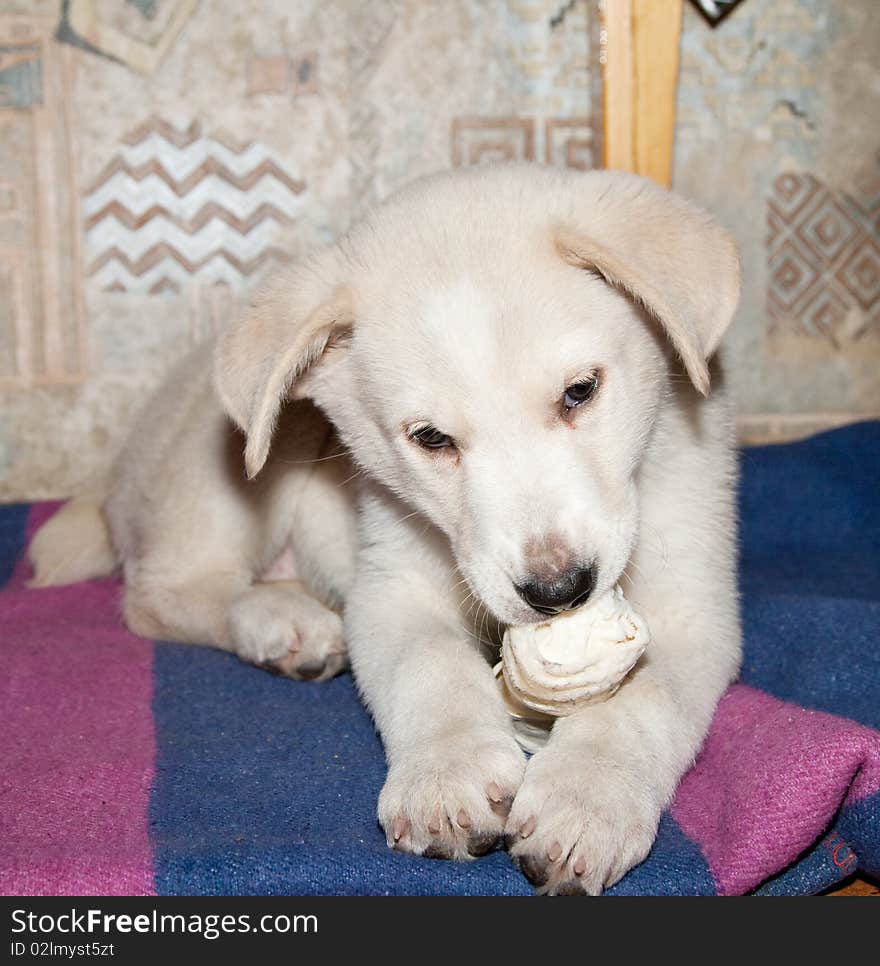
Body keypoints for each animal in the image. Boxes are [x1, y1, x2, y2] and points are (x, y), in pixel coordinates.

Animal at [29, 166, 744, 900]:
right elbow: (428, 664)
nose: (559, 590)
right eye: (430, 439)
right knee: (159, 595)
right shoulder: (391, 582)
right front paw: (448, 775)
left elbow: (640, 702)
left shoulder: (691, 603)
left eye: (580, 391)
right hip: (234, 459)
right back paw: (284, 623)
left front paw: (587, 798)